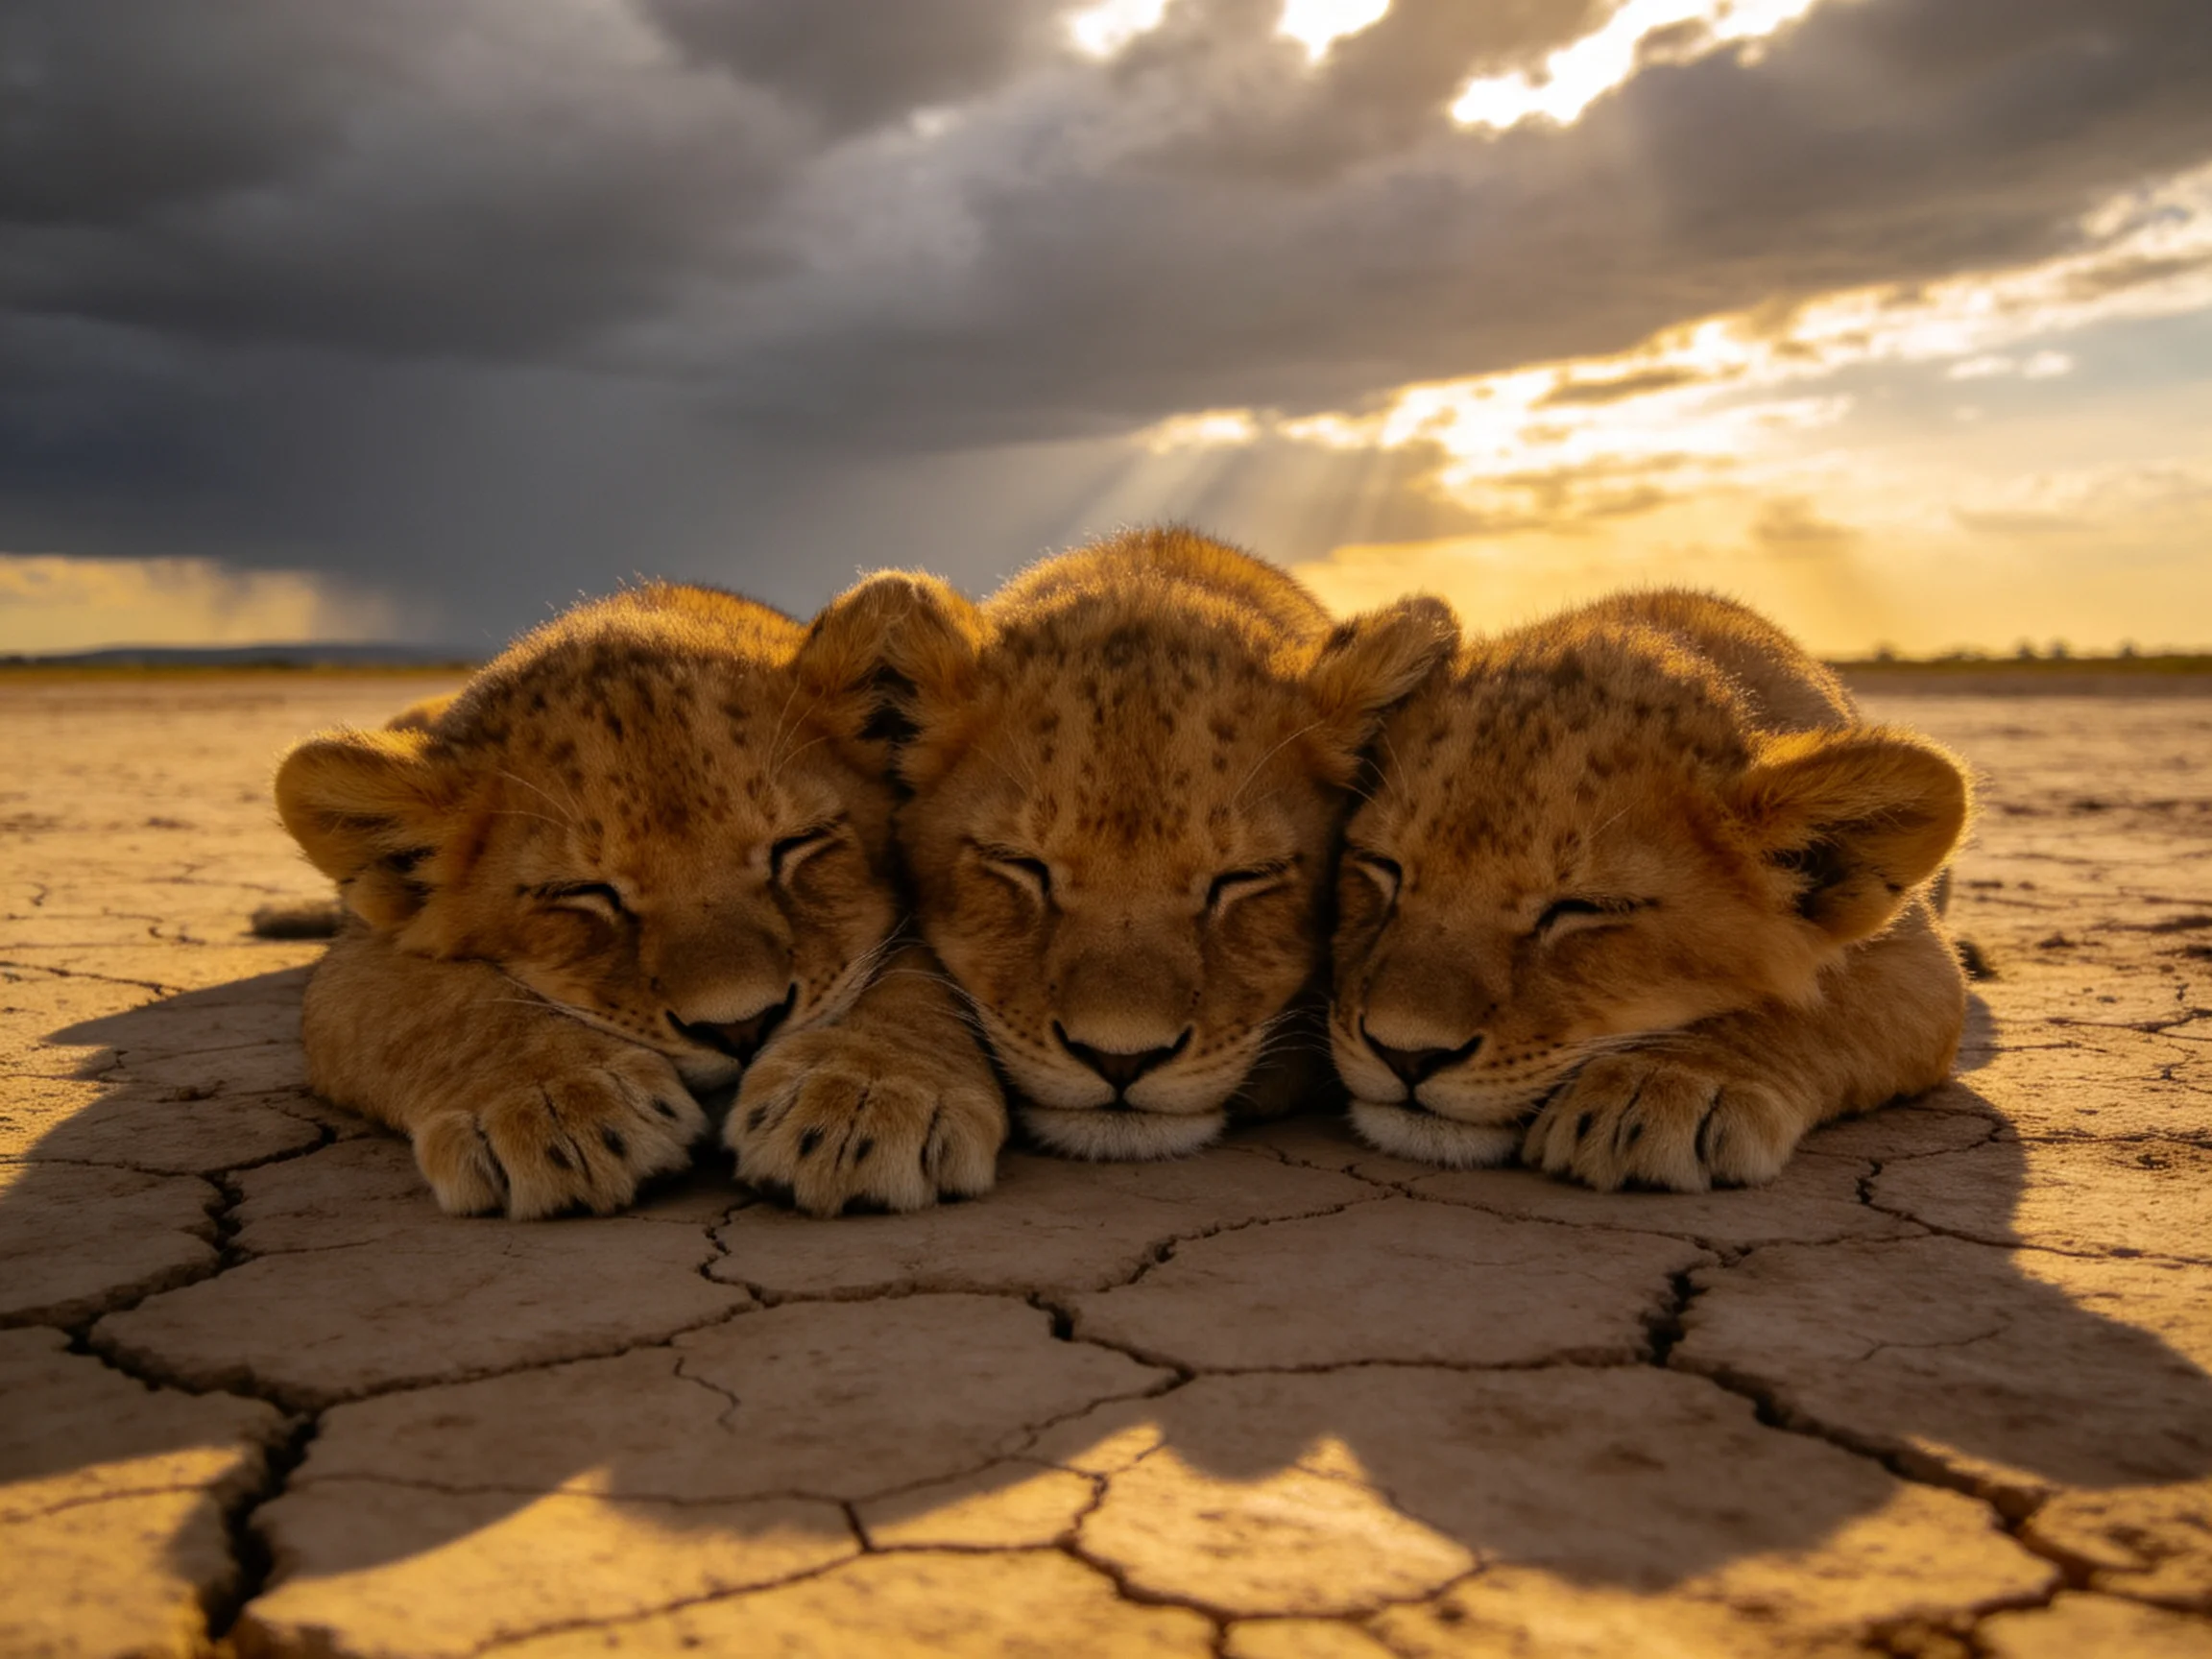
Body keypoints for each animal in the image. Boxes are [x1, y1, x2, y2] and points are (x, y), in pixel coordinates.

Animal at [276, 578, 1006, 1219]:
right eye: (583, 892)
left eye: (795, 844)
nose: (740, 1028)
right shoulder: (366, 948)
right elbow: (444, 1005)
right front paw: (559, 1105)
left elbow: (913, 974)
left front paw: (863, 1097)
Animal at [1328, 589, 1972, 1191]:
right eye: (1383, 866)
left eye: (1582, 908)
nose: (1406, 1053)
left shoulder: (1918, 959)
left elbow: (1816, 1013)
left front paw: (1664, 1087)